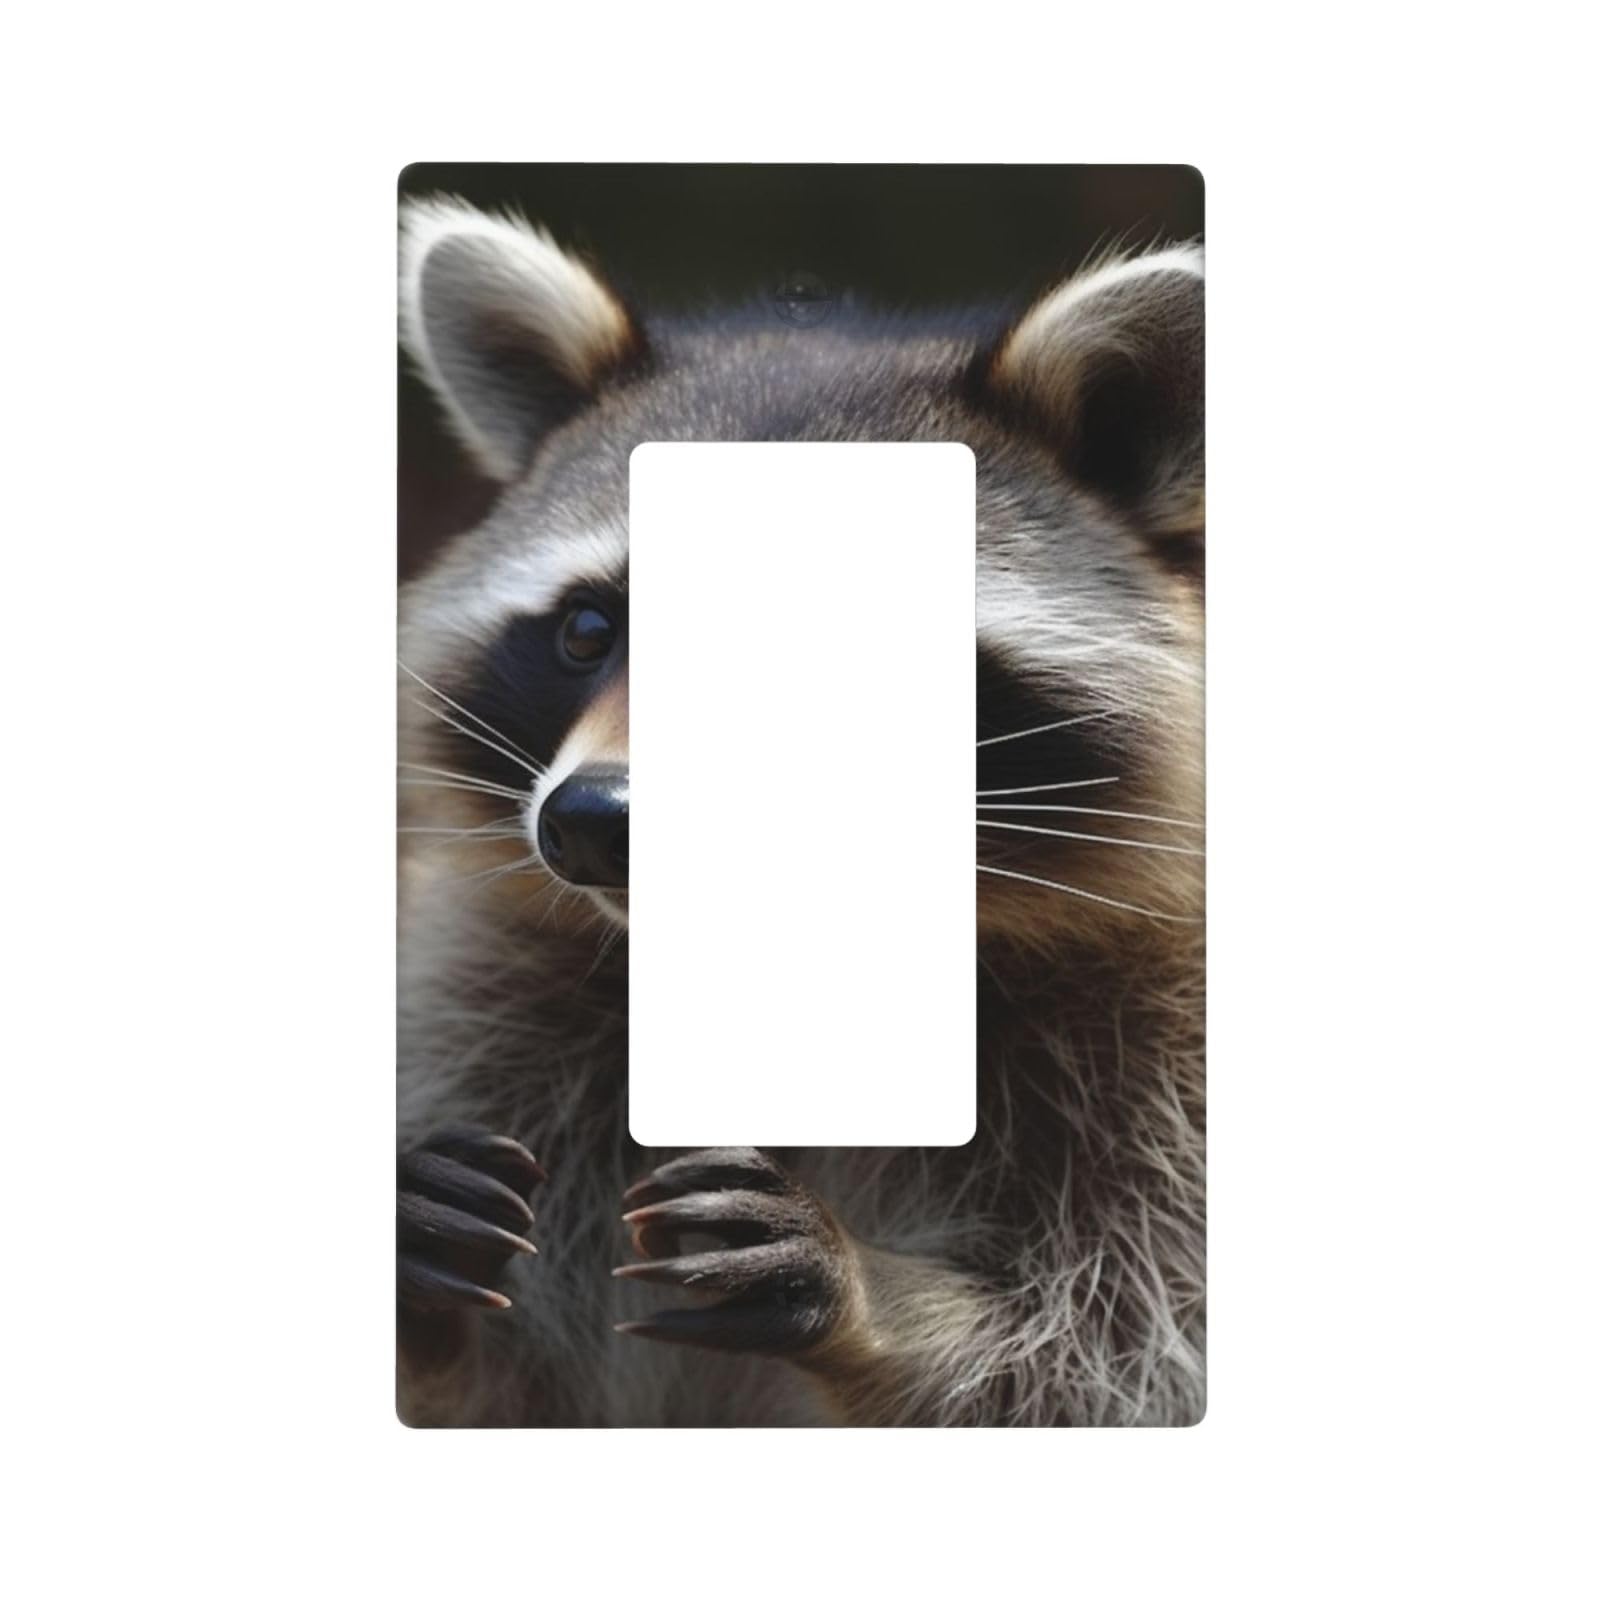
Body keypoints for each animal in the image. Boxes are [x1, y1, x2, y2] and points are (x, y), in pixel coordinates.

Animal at [396, 196, 1205, 1426]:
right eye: (587, 631)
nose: (595, 820)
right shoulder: (491, 990)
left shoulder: (1167, 1051)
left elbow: (1115, 1361)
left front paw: (880, 1303)